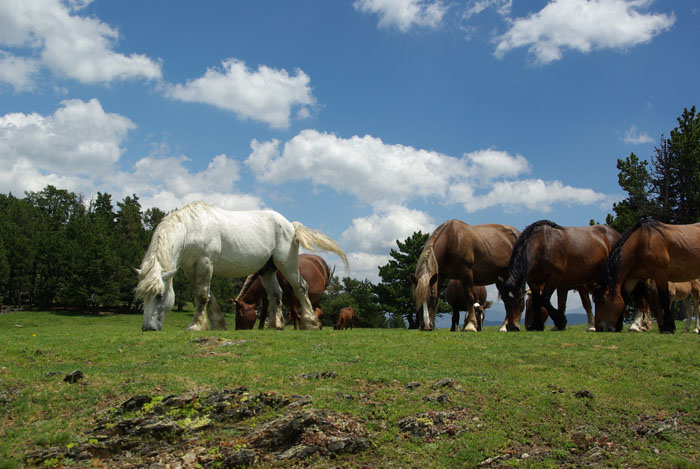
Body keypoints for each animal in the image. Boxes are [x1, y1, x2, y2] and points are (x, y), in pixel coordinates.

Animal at [135, 202, 347, 331]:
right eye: (142, 296)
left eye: (160, 295)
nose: (147, 328)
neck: (192, 228)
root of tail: (290, 225)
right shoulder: (191, 270)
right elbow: (208, 296)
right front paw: (218, 325)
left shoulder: (205, 263)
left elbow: (202, 296)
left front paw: (195, 326)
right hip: (267, 270)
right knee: (275, 294)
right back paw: (275, 325)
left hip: (286, 263)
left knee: (301, 288)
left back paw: (310, 323)